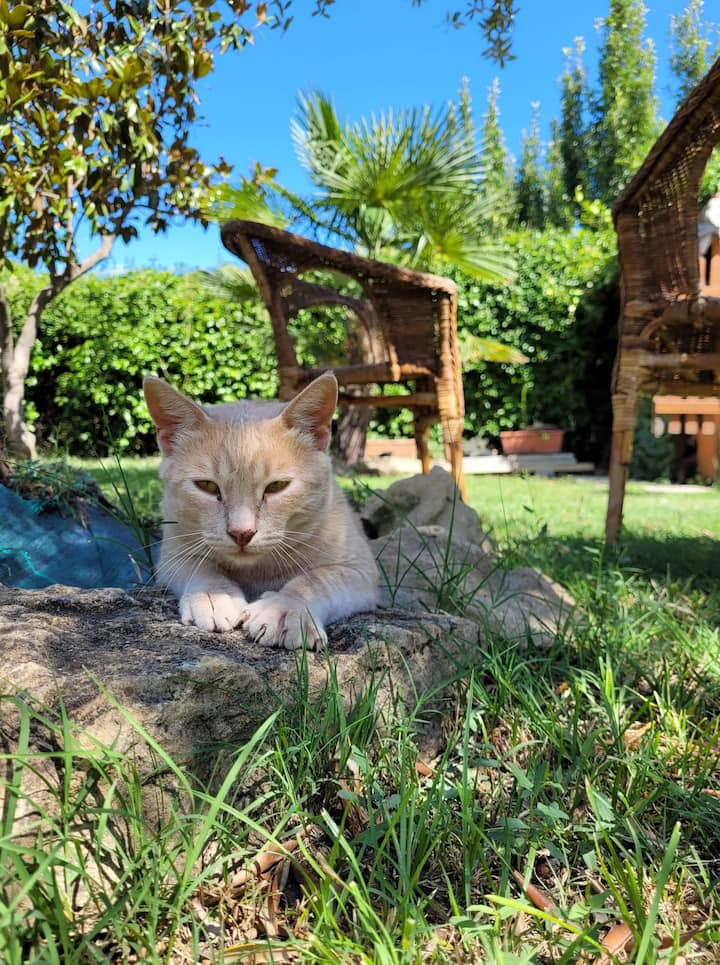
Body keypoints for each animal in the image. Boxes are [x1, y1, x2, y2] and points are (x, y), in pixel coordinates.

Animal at [143, 372, 378, 650]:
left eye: (277, 486)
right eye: (207, 486)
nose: (241, 533)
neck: (257, 572)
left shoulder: (360, 570)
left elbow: (315, 580)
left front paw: (285, 607)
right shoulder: (172, 554)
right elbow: (201, 567)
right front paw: (214, 595)